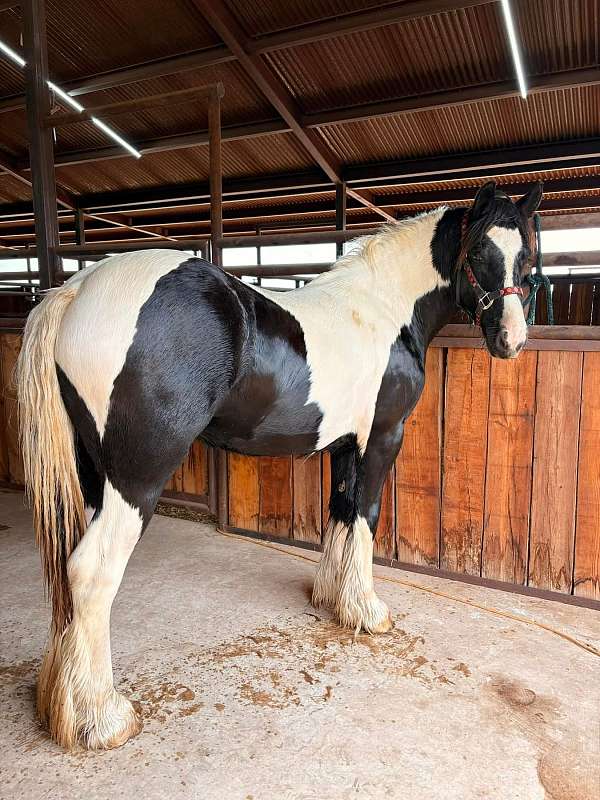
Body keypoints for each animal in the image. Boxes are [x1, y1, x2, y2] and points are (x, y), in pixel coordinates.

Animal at [17, 178, 544, 748]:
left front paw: (333, 601)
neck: (384, 308)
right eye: (479, 252)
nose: (511, 340)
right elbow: (366, 517)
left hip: (94, 474)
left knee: (68, 569)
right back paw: (103, 718)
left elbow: (340, 514)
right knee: (92, 571)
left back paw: (62, 705)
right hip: (136, 478)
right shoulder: (382, 438)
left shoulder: (345, 445)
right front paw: (368, 612)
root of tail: (78, 289)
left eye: (528, 255)